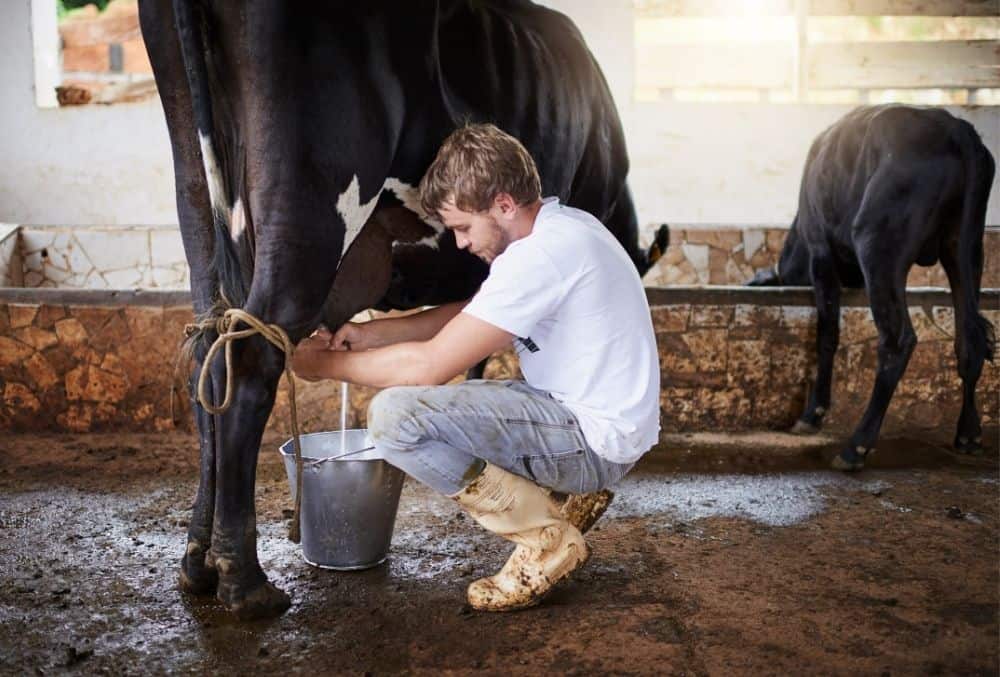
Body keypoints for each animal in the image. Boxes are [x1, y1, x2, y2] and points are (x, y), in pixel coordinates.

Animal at [752, 107, 992, 470]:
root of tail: (953, 127)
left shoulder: (820, 252)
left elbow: (827, 334)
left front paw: (813, 413)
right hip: (965, 249)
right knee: (969, 340)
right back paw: (968, 435)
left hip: (877, 245)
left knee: (898, 340)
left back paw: (856, 446)